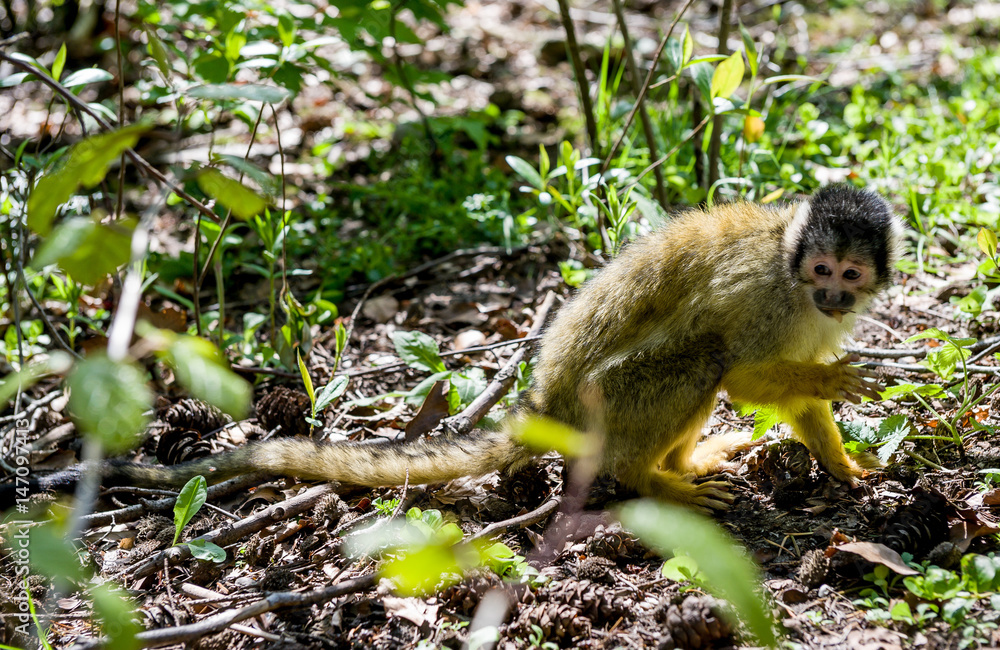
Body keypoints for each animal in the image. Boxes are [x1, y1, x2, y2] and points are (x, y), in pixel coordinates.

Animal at [2, 185, 902, 512]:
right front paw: (824, 382)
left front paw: (847, 466)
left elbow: (796, 394)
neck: (790, 266)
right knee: (702, 361)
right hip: (603, 403)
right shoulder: (767, 294)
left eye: (850, 277)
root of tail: (544, 405)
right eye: (819, 270)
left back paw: (682, 464)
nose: (832, 295)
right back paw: (648, 478)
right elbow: (748, 371)